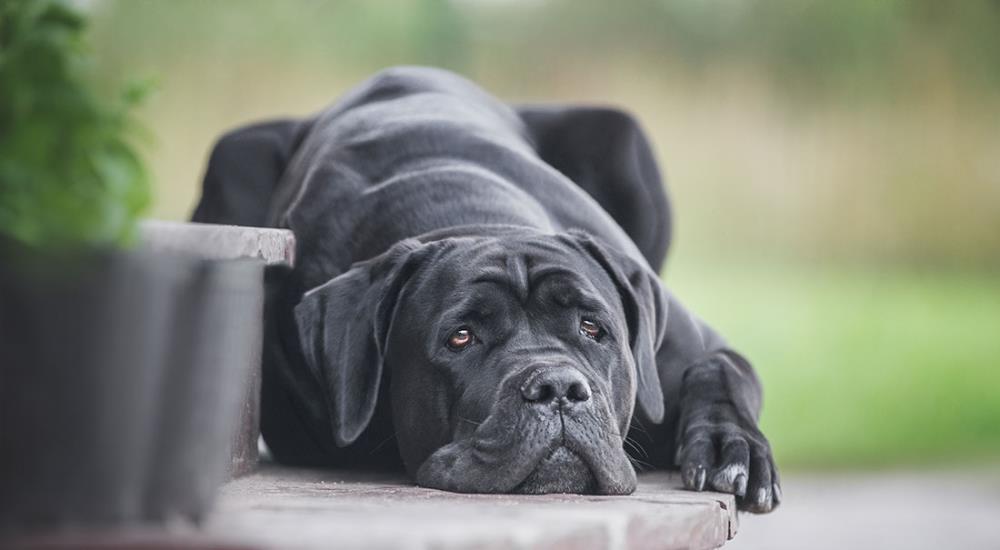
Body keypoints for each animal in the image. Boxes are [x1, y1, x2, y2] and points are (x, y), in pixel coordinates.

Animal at [191, 67, 776, 516]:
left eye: (593, 328)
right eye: (461, 338)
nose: (558, 388)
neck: (482, 219)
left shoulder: (691, 348)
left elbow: (719, 370)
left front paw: (732, 447)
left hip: (623, 136)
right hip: (233, 153)